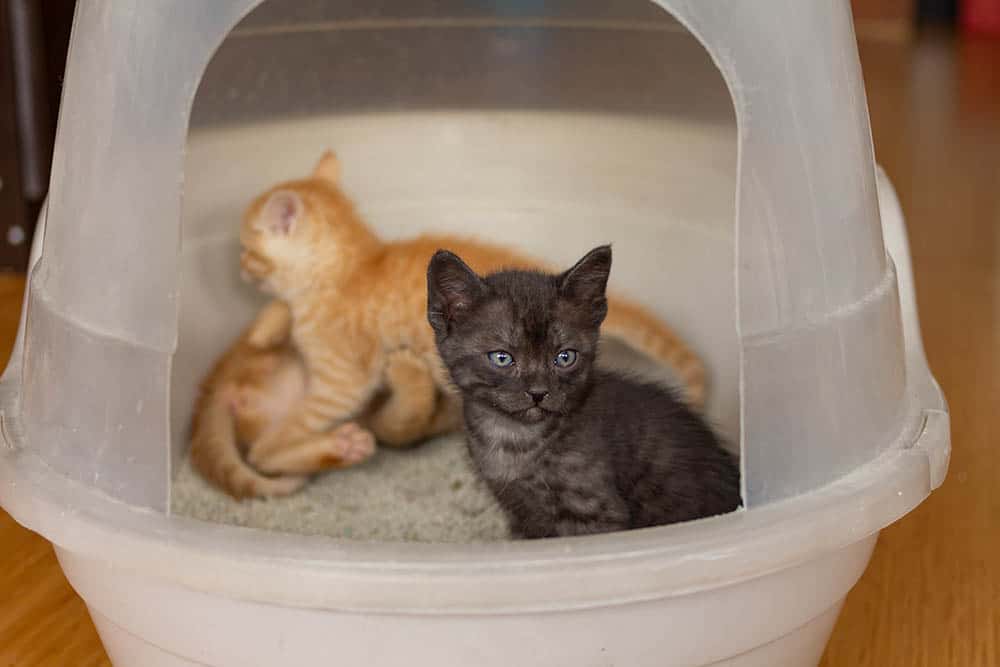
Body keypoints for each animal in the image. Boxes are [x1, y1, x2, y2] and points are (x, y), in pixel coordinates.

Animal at [188, 150, 704, 496]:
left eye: (246, 250)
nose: (240, 269)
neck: (352, 266)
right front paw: (267, 327)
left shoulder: (343, 378)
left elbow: (286, 431)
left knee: (261, 448)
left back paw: (341, 442)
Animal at [426, 248, 740, 540]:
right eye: (502, 358)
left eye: (565, 357)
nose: (538, 392)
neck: (514, 437)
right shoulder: (519, 512)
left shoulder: (593, 512)